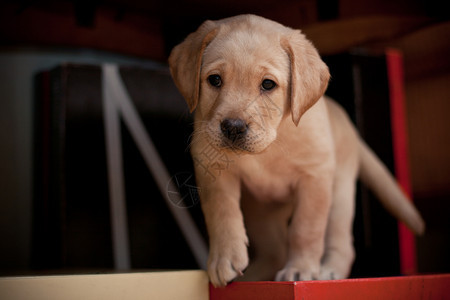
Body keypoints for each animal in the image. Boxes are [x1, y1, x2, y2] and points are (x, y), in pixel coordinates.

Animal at [169, 15, 426, 288]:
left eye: (268, 84)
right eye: (214, 80)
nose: (233, 128)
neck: (270, 145)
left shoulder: (314, 177)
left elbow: (306, 229)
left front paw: (301, 269)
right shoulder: (212, 169)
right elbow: (221, 213)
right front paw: (223, 259)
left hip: (340, 194)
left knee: (341, 243)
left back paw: (330, 270)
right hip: (260, 211)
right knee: (275, 250)